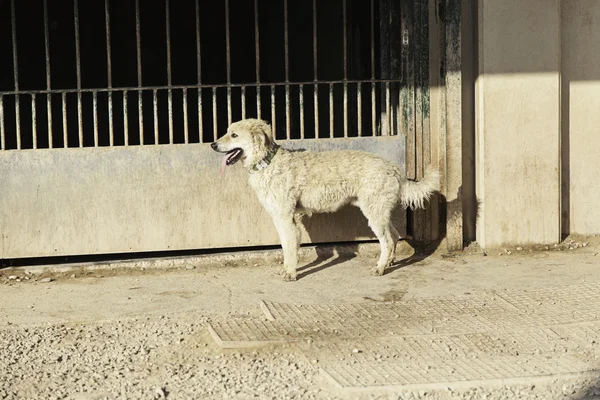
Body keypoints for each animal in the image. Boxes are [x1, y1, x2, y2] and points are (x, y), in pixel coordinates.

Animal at [212, 119, 440, 282]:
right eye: (227, 131)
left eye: (234, 134)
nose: (212, 144)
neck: (268, 162)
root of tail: (394, 169)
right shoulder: (286, 219)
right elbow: (287, 246)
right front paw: (287, 268)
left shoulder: (285, 217)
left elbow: (289, 247)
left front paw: (291, 273)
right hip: (380, 212)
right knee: (394, 236)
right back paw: (390, 262)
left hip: (374, 214)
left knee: (386, 240)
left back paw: (380, 267)